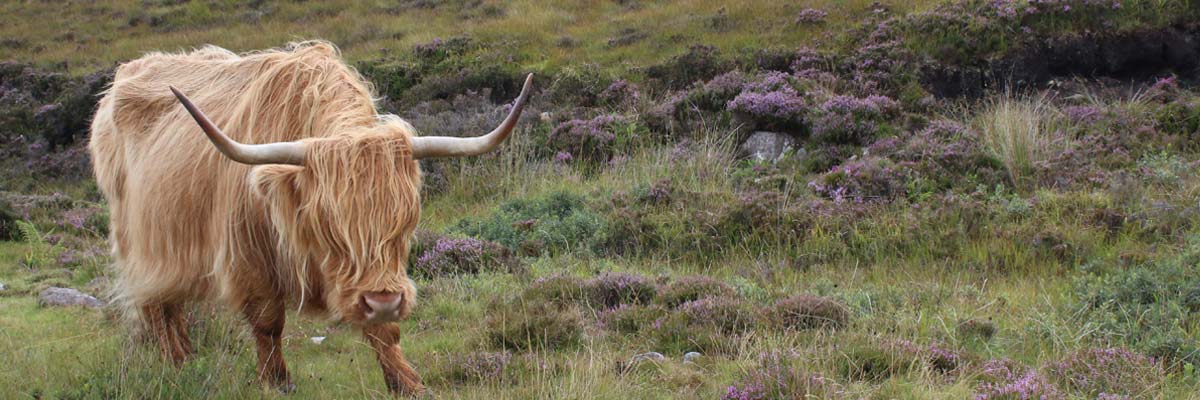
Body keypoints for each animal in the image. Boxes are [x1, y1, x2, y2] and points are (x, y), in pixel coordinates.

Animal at [87, 40, 532, 391]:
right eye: (329, 223)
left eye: (406, 221)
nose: (384, 301)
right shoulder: (251, 256)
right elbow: (268, 322)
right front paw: (277, 382)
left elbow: (384, 331)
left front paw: (408, 383)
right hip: (140, 241)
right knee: (157, 305)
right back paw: (176, 364)